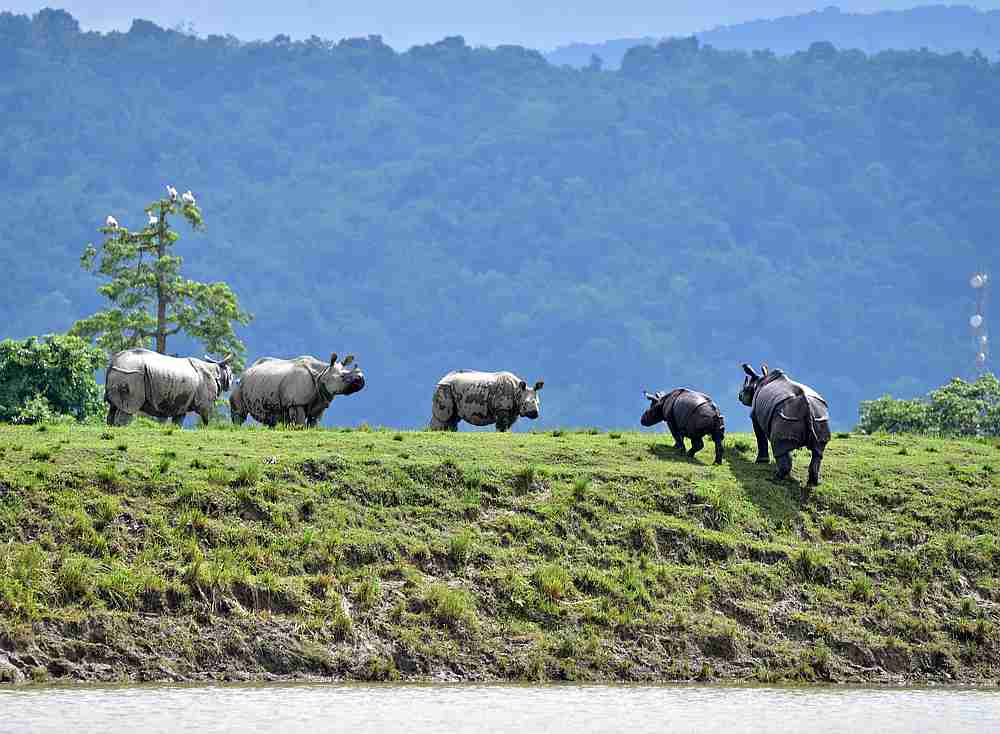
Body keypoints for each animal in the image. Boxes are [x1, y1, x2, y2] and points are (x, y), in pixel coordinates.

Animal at [104, 348, 233, 426]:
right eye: (231, 374)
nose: (233, 382)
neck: (217, 370)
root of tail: (114, 362)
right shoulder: (205, 403)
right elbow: (207, 417)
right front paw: (208, 429)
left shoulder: (182, 403)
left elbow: (178, 421)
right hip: (131, 373)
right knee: (129, 408)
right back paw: (123, 427)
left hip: (123, 372)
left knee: (113, 407)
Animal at [230, 353, 365, 427]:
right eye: (343, 377)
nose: (361, 380)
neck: (322, 372)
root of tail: (247, 369)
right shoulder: (296, 403)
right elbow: (300, 423)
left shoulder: (321, 401)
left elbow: (314, 422)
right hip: (238, 384)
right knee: (239, 414)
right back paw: (236, 427)